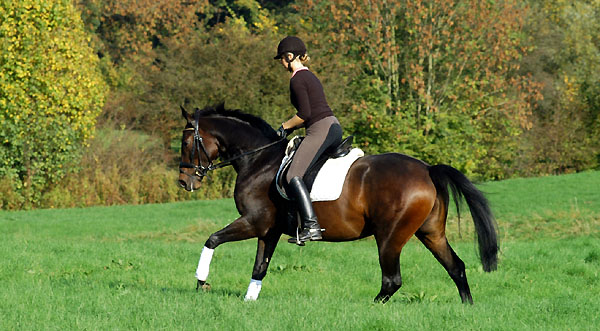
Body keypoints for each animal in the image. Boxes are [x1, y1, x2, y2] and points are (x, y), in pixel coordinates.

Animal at [178, 104, 496, 304]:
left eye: (185, 143)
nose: (184, 182)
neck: (258, 159)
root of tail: (428, 169)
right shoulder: (268, 230)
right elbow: (260, 267)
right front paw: (249, 300)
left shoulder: (254, 221)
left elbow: (212, 239)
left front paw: (201, 282)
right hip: (430, 232)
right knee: (456, 267)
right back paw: (468, 307)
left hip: (390, 236)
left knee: (392, 280)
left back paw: (371, 306)